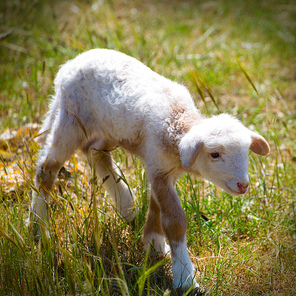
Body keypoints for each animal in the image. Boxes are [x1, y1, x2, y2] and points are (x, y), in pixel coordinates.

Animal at [28, 49, 270, 292]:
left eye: (246, 152)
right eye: (215, 154)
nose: (243, 185)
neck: (176, 123)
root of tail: (69, 65)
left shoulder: (162, 169)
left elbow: (156, 209)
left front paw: (154, 245)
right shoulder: (159, 169)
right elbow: (174, 221)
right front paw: (185, 277)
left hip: (108, 128)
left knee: (96, 153)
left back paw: (126, 205)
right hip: (72, 120)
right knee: (47, 168)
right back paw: (38, 228)